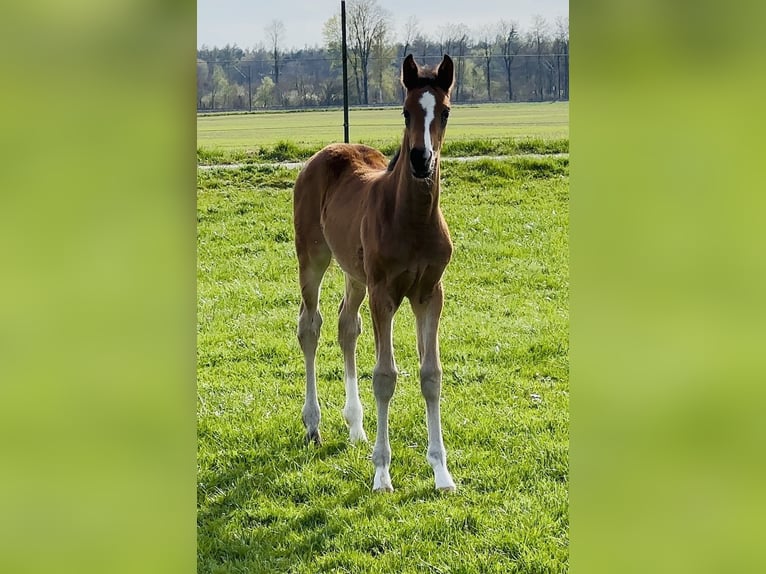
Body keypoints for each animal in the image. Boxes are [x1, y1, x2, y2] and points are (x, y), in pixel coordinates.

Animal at [292, 54, 456, 492]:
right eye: (405, 112)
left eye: (444, 112)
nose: (420, 159)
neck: (412, 220)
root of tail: (325, 152)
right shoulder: (385, 293)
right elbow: (385, 376)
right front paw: (382, 473)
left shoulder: (430, 293)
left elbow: (431, 375)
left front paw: (442, 473)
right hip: (312, 258)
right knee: (309, 325)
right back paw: (313, 425)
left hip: (355, 275)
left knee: (346, 325)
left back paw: (356, 427)